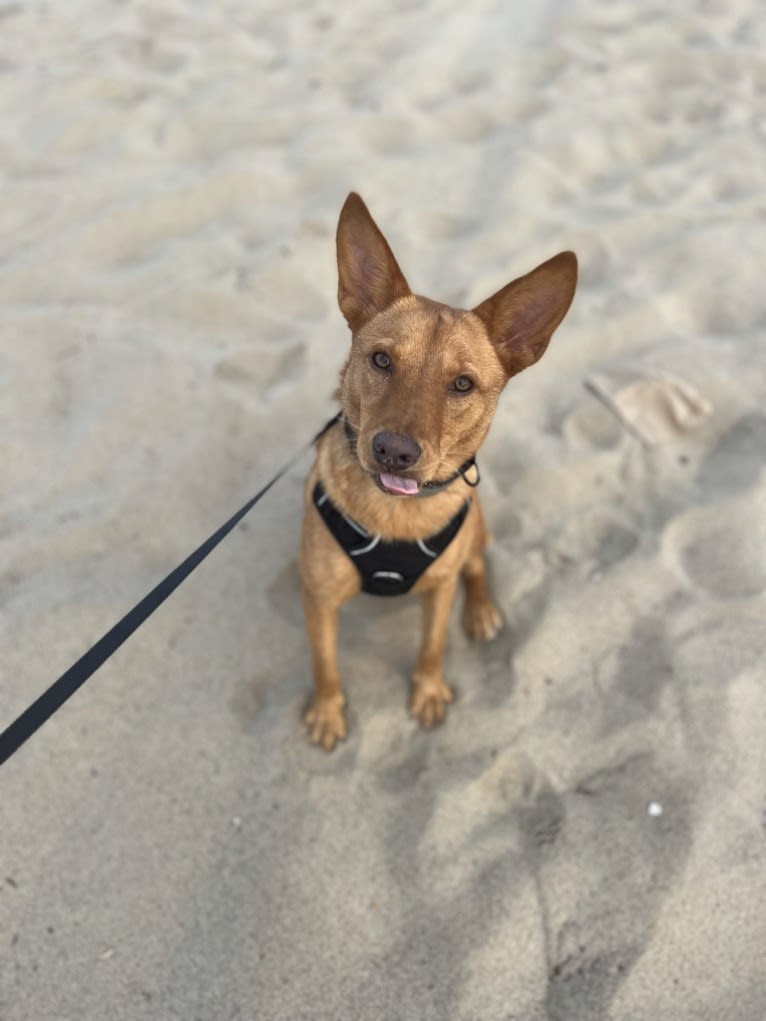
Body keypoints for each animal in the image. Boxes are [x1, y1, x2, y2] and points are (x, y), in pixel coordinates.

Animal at [300, 192, 576, 751]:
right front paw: (327, 711)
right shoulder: (320, 601)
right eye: (381, 360)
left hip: (476, 528)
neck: (393, 515)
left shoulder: (439, 590)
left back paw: (482, 610)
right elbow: (325, 664)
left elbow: (431, 645)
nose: (393, 451)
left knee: (476, 564)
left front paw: (427, 690)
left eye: (463, 384)